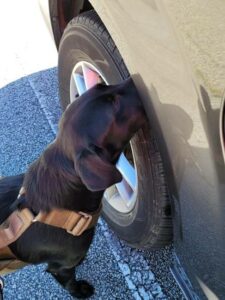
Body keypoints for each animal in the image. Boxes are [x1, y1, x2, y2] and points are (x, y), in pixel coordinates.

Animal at [0, 78, 146, 298]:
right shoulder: (61, 265)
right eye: (114, 104)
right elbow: (68, 280)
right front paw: (80, 291)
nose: (133, 79)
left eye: (102, 86)